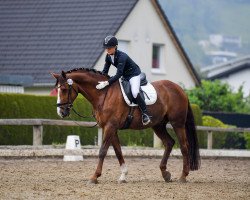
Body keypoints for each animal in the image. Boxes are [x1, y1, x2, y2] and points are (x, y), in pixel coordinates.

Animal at [51, 68, 200, 184]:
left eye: (64, 89)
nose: (61, 112)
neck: (103, 94)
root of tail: (180, 89)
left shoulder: (110, 127)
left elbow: (102, 151)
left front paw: (94, 177)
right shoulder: (110, 128)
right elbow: (118, 151)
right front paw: (123, 175)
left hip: (177, 123)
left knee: (184, 146)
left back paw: (183, 176)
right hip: (158, 125)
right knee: (169, 142)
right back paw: (165, 174)